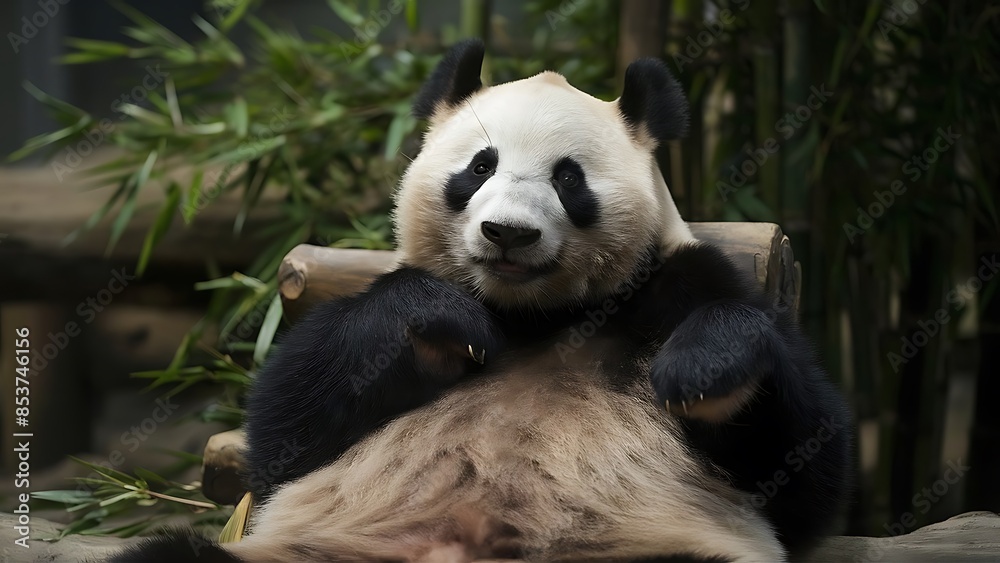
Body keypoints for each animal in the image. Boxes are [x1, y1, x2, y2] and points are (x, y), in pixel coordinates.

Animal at [112, 39, 851, 562]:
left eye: (569, 179)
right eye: (480, 166)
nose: (508, 233)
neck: (534, 314)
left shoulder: (677, 279)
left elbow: (806, 473)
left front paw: (702, 373)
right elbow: (284, 436)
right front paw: (439, 323)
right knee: (169, 555)